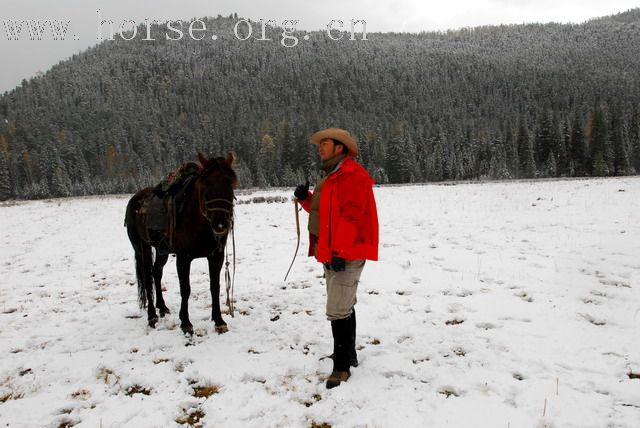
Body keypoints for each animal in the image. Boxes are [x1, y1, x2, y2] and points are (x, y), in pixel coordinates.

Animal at [123, 153, 238, 334]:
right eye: (206, 184)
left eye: (229, 182)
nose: (220, 224)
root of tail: (135, 199)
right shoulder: (183, 258)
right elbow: (185, 289)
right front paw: (185, 323)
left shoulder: (216, 257)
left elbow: (215, 287)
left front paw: (219, 320)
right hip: (142, 249)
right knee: (147, 278)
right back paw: (152, 316)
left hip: (161, 250)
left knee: (156, 272)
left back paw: (162, 307)